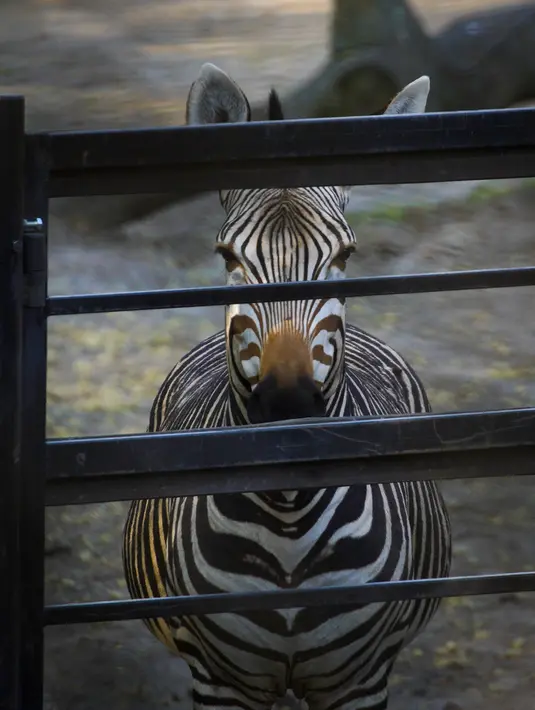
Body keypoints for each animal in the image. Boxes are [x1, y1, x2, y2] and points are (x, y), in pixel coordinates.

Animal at [123, 63, 452, 710]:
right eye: (227, 256)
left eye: (346, 254)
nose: (287, 402)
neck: (289, 519)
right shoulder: (220, 681)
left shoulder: (360, 680)